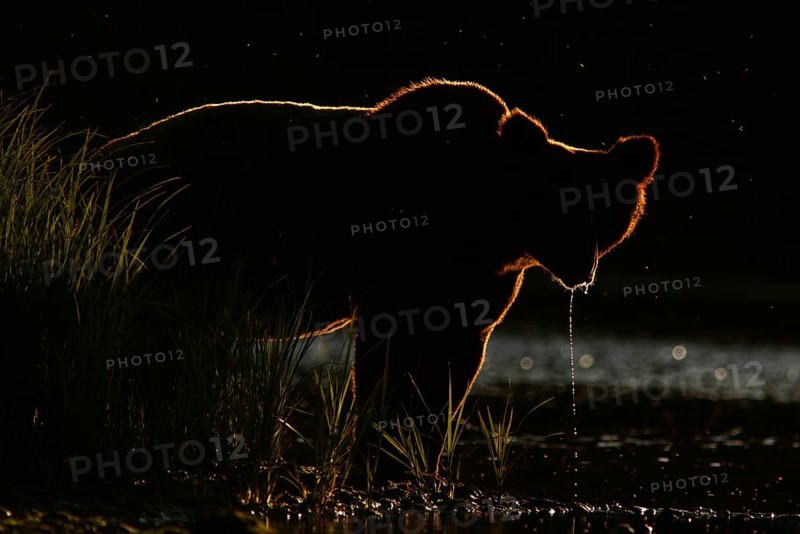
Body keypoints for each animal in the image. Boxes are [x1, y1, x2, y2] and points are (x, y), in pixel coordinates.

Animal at [94, 78, 659, 478]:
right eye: (560, 204)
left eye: (604, 211)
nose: (581, 268)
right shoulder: (395, 281)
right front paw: (377, 457)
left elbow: (447, 380)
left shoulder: (477, 298)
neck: (486, 227)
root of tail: (102, 153)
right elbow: (384, 371)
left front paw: (419, 462)